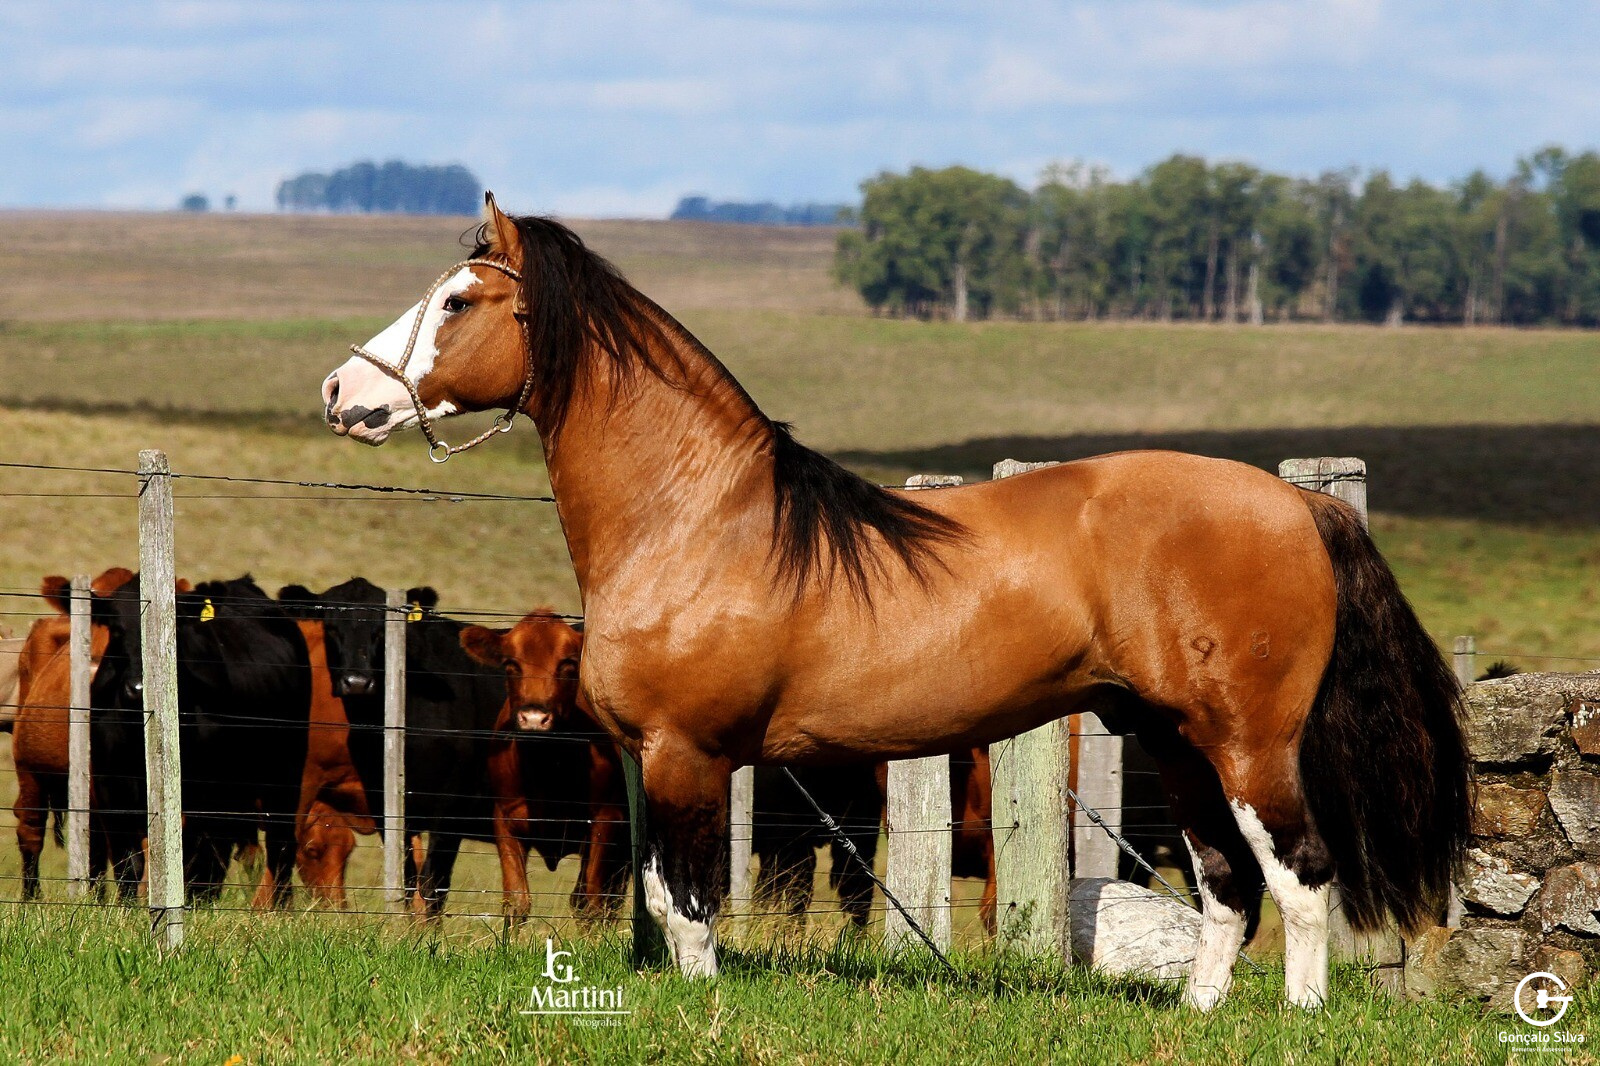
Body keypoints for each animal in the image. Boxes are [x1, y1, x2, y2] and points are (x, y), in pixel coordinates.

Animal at [91, 574, 310, 906]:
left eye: (176, 627)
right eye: (115, 629)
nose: (138, 688)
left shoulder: (202, 795)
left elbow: (195, 862)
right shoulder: (110, 791)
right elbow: (128, 863)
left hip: (286, 774)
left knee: (279, 844)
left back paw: (280, 907)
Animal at [459, 611, 630, 920]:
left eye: (568, 664)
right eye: (511, 664)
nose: (535, 718)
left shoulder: (605, 820)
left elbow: (591, 903)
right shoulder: (505, 820)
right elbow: (516, 901)